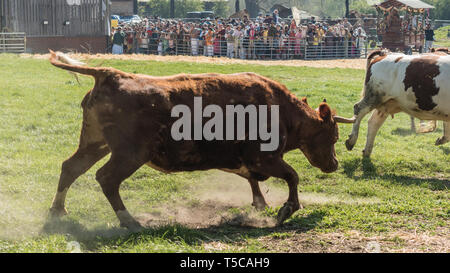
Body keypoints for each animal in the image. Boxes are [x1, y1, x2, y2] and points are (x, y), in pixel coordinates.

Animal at [49, 50, 352, 228]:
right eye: (333, 136)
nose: (334, 164)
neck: (282, 109)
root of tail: (111, 74)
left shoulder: (242, 160)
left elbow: (253, 180)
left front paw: (260, 204)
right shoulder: (263, 157)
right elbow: (292, 176)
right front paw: (287, 208)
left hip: (95, 143)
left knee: (71, 167)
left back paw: (57, 211)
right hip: (131, 153)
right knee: (107, 178)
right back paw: (130, 222)